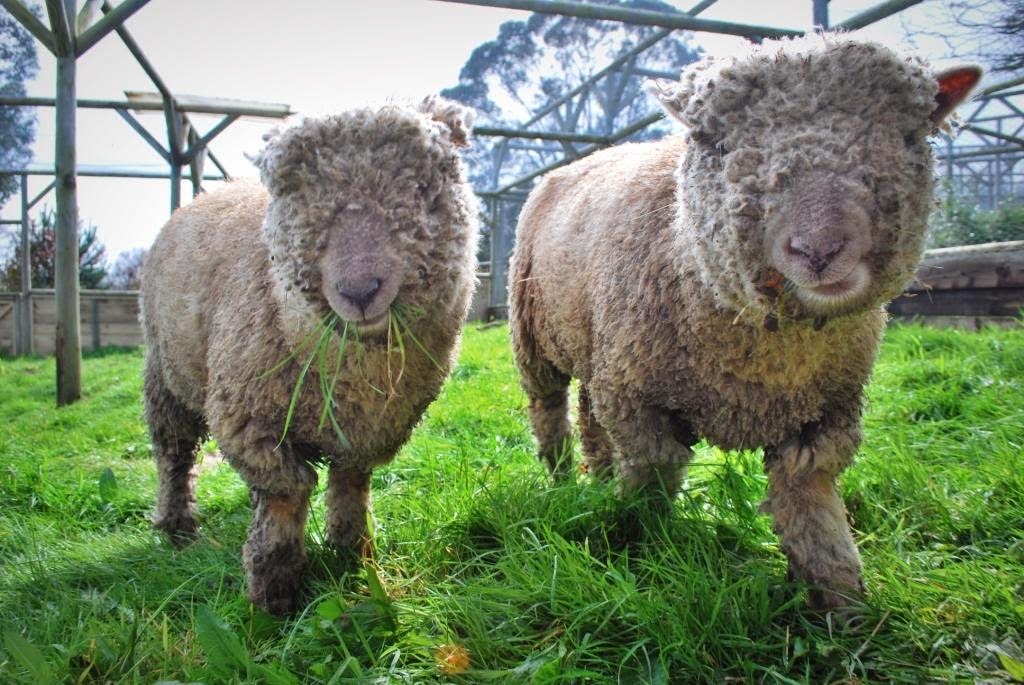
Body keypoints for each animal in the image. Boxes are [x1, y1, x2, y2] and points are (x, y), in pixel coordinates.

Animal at [141, 97, 478, 615]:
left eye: (425, 188)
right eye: (297, 198)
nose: (359, 291)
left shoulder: (370, 431)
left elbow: (350, 485)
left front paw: (351, 555)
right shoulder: (248, 421)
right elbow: (287, 493)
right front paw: (273, 594)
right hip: (164, 374)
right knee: (174, 455)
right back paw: (177, 527)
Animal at [509, 34, 980, 611]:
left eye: (910, 133)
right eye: (716, 143)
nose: (819, 249)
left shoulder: (825, 413)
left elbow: (808, 498)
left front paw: (840, 599)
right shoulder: (638, 400)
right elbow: (651, 480)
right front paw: (639, 544)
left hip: (595, 347)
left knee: (589, 413)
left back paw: (595, 478)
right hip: (534, 339)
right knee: (551, 414)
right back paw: (561, 483)